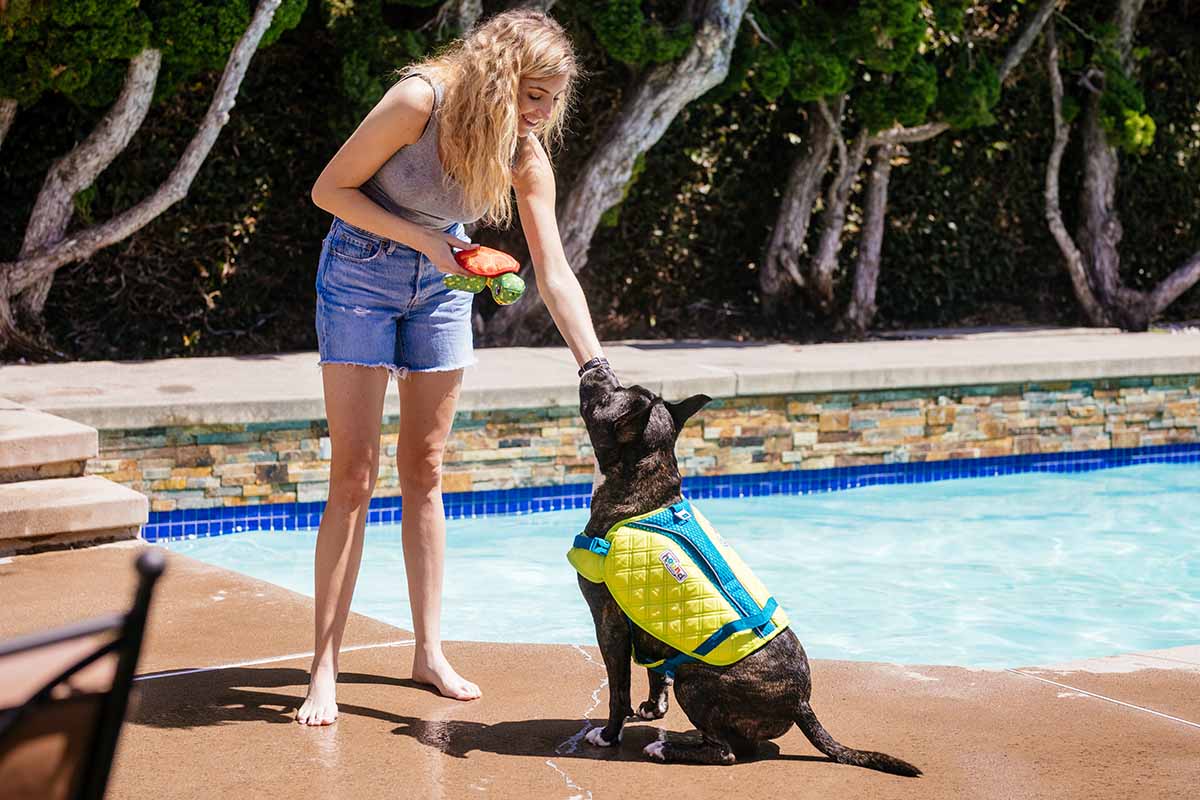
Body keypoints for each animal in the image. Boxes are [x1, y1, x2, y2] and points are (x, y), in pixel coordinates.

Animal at [576, 364, 921, 777]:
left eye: (610, 394)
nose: (597, 369)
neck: (643, 483)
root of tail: (800, 703)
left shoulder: (609, 624)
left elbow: (618, 690)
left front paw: (609, 735)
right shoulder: (647, 631)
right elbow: (654, 671)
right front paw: (651, 709)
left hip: (695, 681)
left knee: (724, 751)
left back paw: (667, 749)